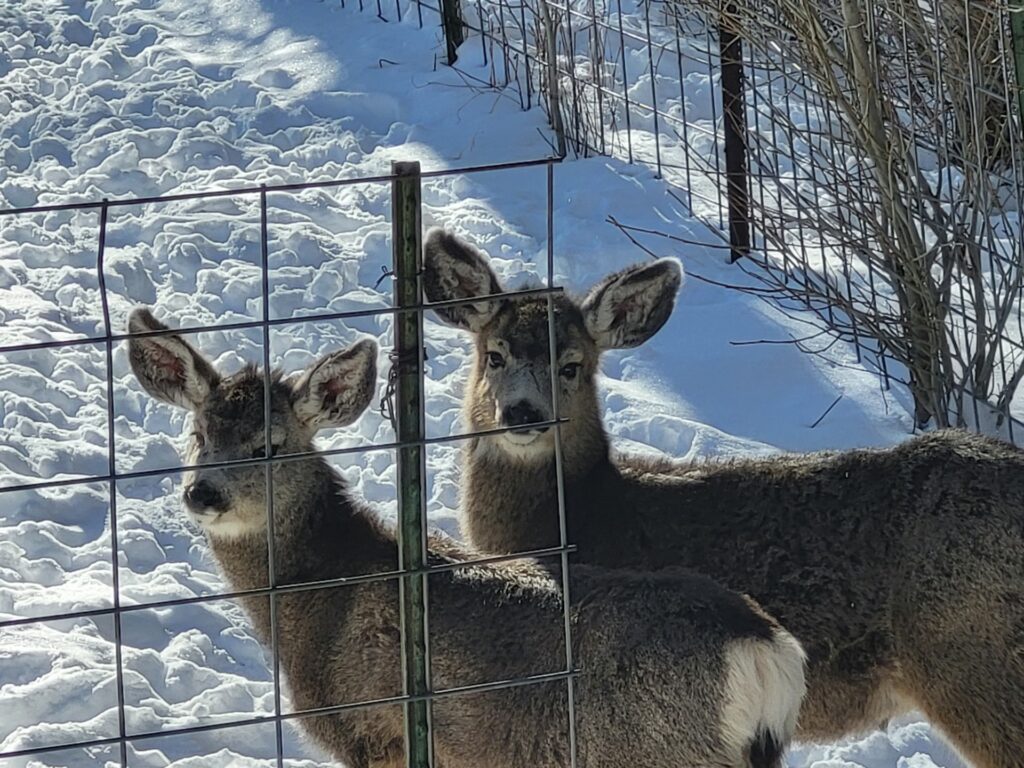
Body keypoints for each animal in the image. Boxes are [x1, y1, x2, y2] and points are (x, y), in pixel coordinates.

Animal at [126, 306, 806, 768]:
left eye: (268, 446)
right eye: (197, 435)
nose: (203, 493)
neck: (320, 596)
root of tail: (766, 650)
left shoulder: (375, 730)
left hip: (656, 752)